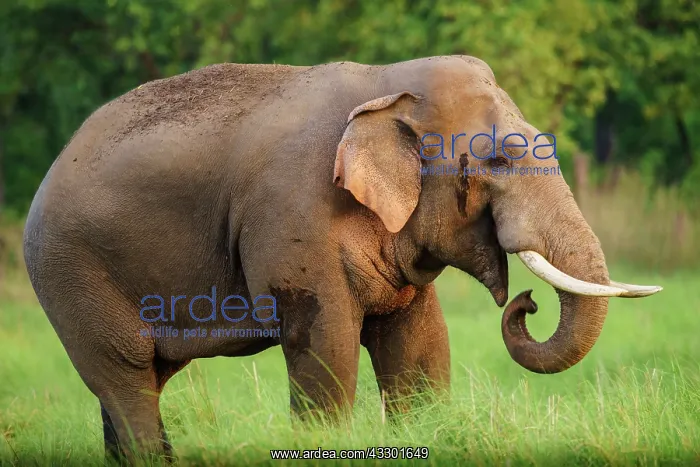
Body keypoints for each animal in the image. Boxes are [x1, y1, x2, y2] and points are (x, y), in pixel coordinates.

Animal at [23, 55, 661, 461]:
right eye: (499, 160)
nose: (526, 303)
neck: (384, 86)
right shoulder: (295, 215)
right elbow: (324, 344)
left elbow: (419, 347)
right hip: (71, 274)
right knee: (125, 379)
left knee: (133, 388)